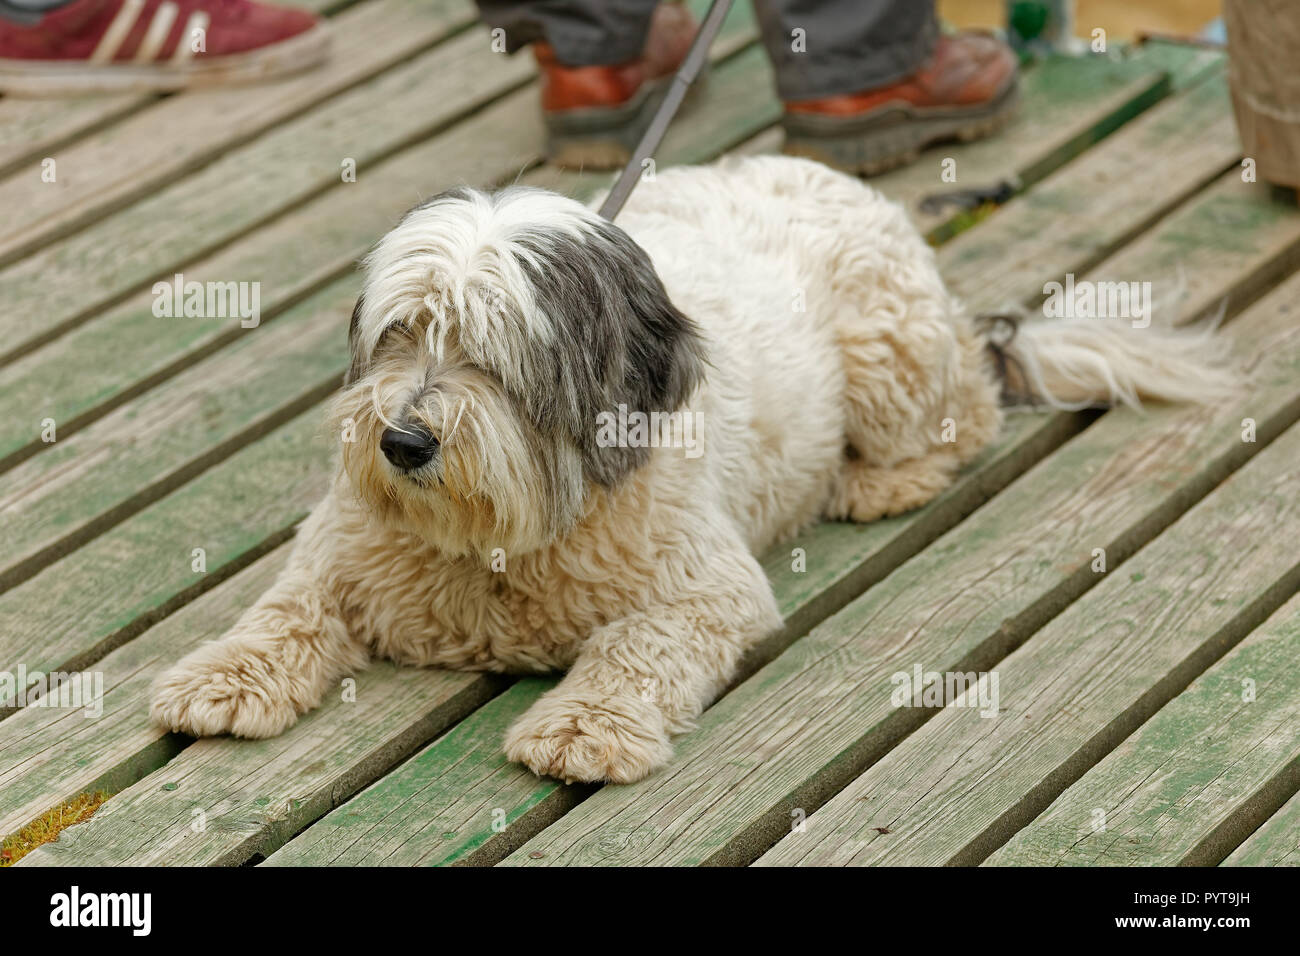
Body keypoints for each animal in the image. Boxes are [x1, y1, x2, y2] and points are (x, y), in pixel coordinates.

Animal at [152, 157, 1227, 785]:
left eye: (495, 357)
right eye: (402, 333)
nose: (403, 444)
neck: (501, 548)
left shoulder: (709, 588)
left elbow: (638, 644)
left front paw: (583, 728)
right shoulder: (338, 545)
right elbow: (286, 604)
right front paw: (223, 674)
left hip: (891, 355)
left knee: (970, 414)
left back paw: (881, 480)